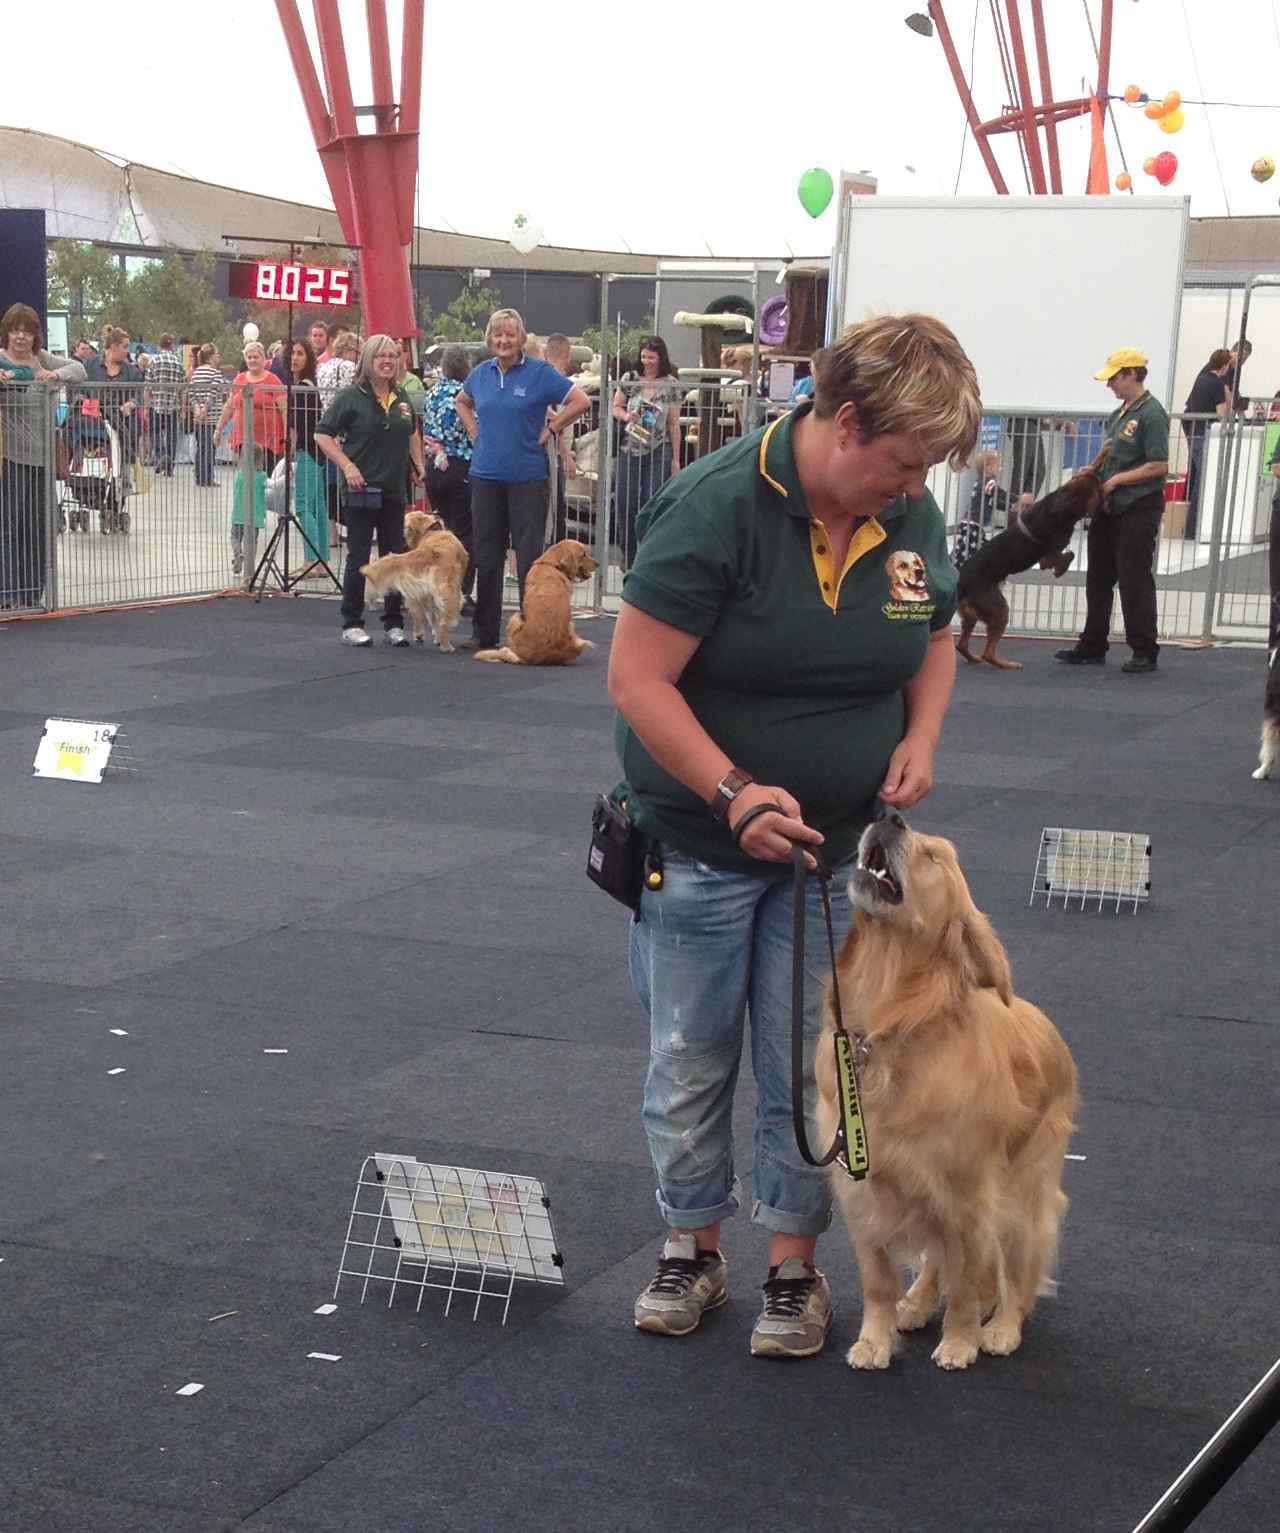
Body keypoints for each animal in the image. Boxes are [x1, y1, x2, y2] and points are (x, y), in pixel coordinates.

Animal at [360, 512, 469, 649]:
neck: (432, 531)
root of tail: (429, 551)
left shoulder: (426, 594)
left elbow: (432, 617)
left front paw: (434, 636)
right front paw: (438, 638)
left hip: (417, 591)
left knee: (419, 615)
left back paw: (420, 635)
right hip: (449, 590)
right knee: (444, 619)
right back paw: (446, 645)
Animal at [815, 821, 1079, 1373]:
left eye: (934, 857)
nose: (889, 817)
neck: (889, 1020)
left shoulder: (967, 1196)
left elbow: (964, 1284)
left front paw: (960, 1342)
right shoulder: (862, 1189)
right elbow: (878, 1280)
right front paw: (875, 1339)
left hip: (1024, 1193)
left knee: (1016, 1272)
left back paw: (1000, 1327)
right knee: (938, 1260)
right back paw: (915, 1302)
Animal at [956, 456, 1103, 668]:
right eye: (1099, 490)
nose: (1100, 475)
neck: (1063, 503)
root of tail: (961, 582)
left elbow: (1070, 553)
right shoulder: (1048, 556)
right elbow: (1070, 554)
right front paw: (1060, 569)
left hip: (972, 615)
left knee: (962, 645)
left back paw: (974, 659)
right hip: (998, 609)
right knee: (988, 653)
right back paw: (1006, 664)